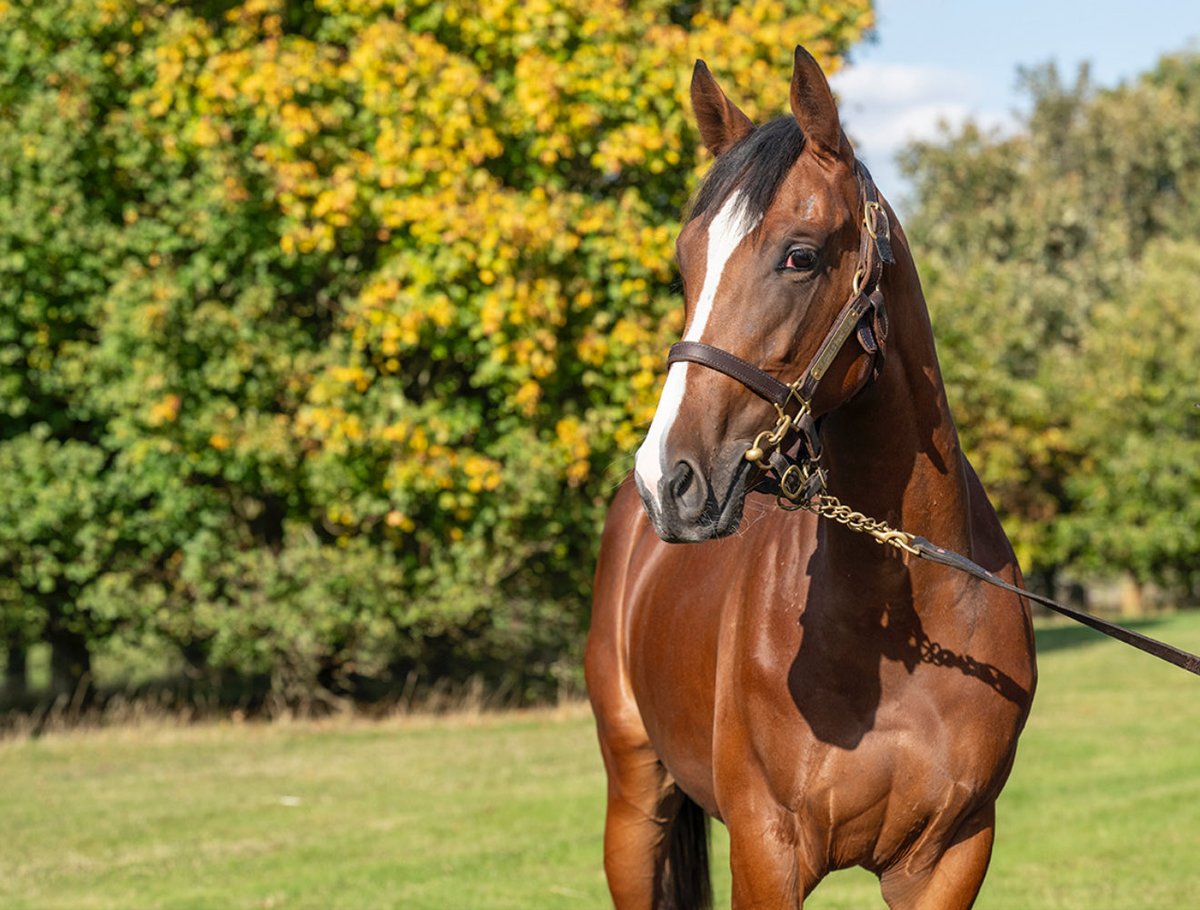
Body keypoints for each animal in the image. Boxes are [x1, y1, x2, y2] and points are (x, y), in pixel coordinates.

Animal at [585, 47, 1037, 909]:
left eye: (800, 255)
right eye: (686, 263)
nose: (668, 479)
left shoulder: (953, 856)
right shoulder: (767, 850)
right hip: (633, 802)